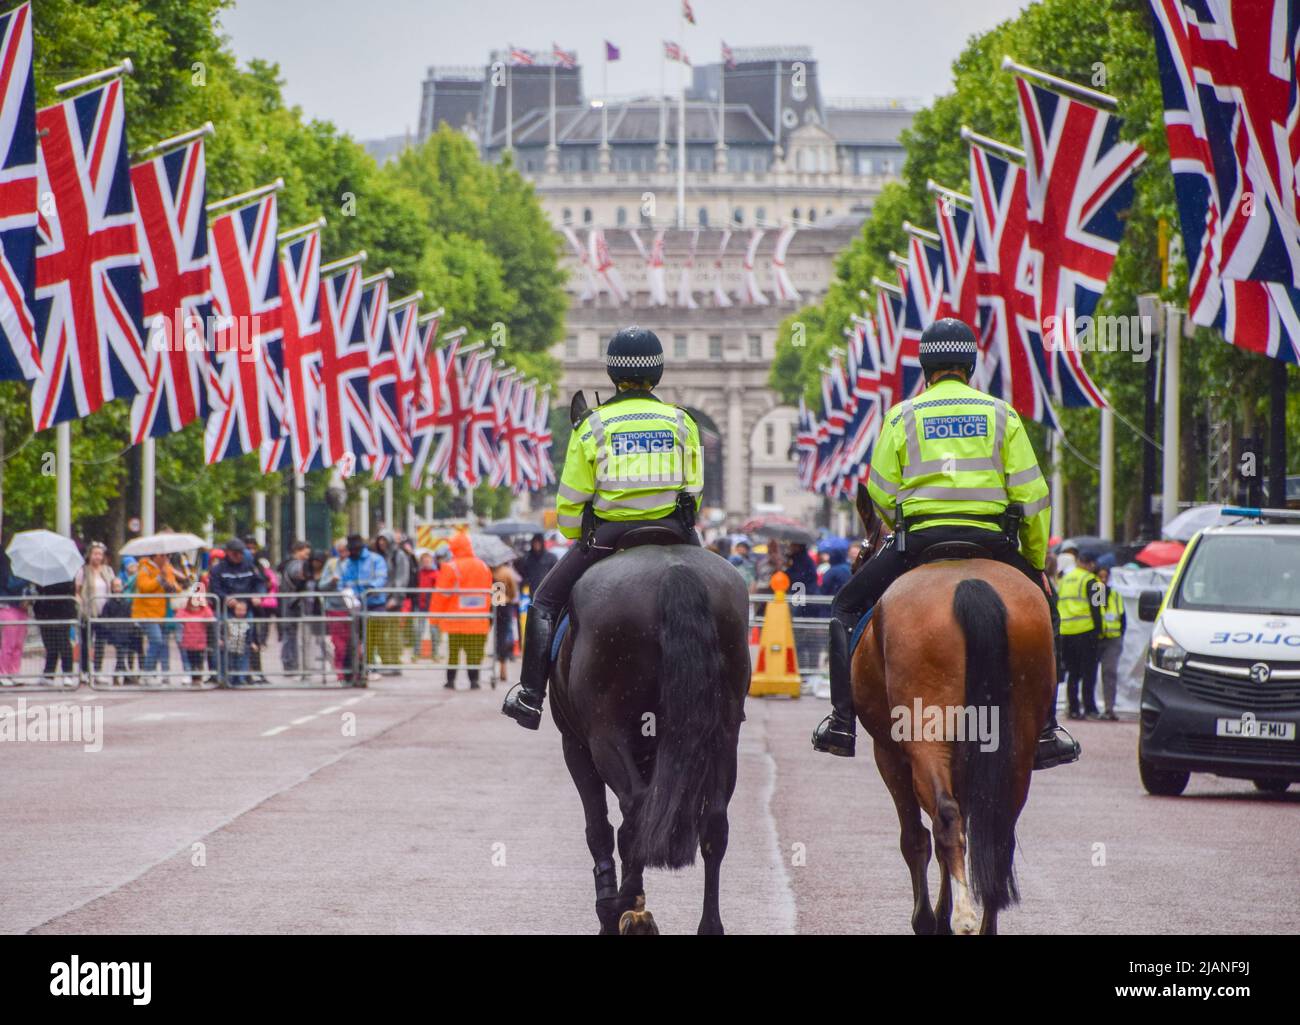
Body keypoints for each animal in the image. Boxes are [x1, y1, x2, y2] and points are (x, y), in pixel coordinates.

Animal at [548, 543, 754, 936]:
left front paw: (612, 907)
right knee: (713, 822)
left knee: (634, 809)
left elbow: (598, 827)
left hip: (605, 736)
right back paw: (707, 924)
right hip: (723, 737)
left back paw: (626, 907)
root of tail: (674, 569)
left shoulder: (575, 746)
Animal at [852, 483, 1055, 931]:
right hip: (1015, 743)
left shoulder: (889, 752)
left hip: (923, 735)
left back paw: (961, 916)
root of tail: (969, 582)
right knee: (997, 831)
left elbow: (915, 837)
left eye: (858, 557)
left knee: (944, 819)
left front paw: (929, 918)